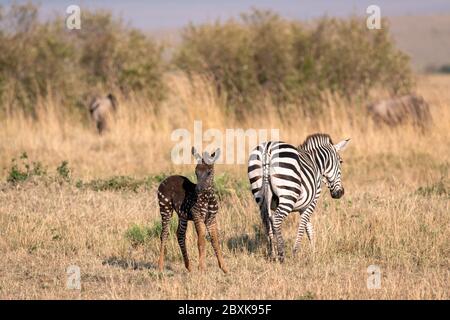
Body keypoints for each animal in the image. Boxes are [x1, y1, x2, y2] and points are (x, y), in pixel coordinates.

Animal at [158, 146, 229, 274]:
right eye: (196, 171)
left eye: (209, 172)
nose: (198, 189)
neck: (208, 198)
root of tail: (165, 179)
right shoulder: (197, 215)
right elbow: (201, 240)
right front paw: (202, 268)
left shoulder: (211, 218)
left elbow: (215, 241)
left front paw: (224, 268)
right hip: (165, 207)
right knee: (164, 233)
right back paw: (160, 266)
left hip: (182, 215)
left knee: (180, 234)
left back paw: (189, 267)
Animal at [248, 134, 350, 262]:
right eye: (341, 161)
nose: (340, 193)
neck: (316, 163)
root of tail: (268, 148)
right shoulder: (312, 201)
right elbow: (303, 225)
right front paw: (295, 251)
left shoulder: (303, 206)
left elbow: (308, 227)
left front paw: (313, 251)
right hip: (288, 194)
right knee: (276, 219)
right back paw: (281, 254)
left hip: (260, 195)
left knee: (266, 220)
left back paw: (272, 253)